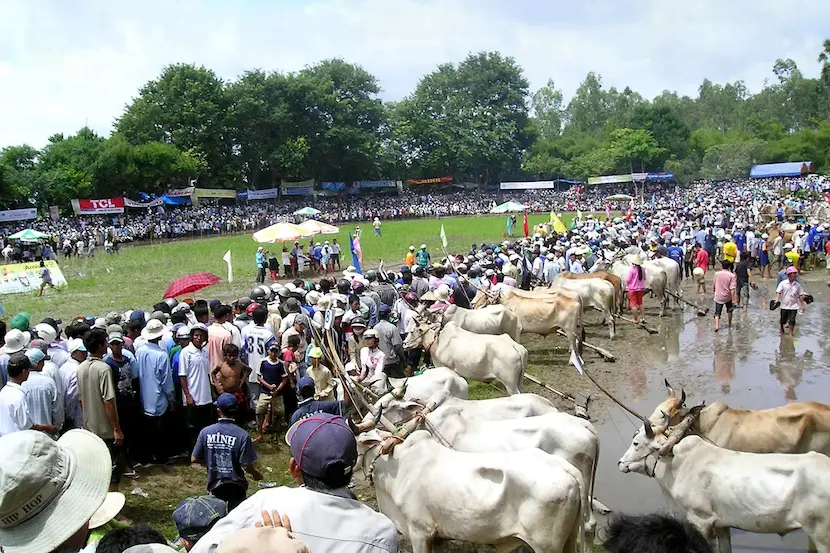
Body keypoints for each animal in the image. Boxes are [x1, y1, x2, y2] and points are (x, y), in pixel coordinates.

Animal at [358, 430, 584, 552]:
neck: (398, 466)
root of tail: (565, 467)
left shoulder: (419, 531)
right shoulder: (438, 536)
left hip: (546, 546)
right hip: (570, 538)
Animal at [620, 418, 830, 552]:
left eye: (636, 443)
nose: (620, 463)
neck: (676, 464)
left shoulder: (701, 520)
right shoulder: (721, 524)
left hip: (821, 536)